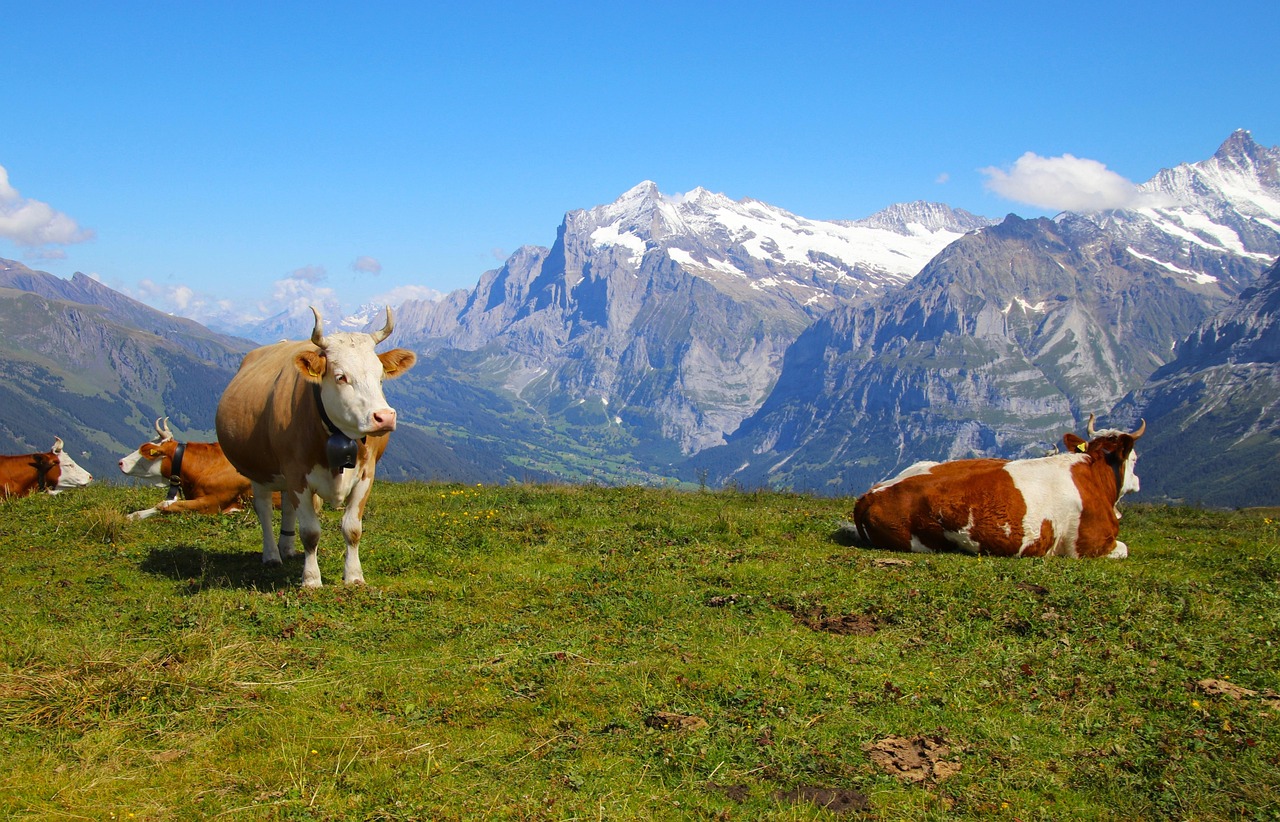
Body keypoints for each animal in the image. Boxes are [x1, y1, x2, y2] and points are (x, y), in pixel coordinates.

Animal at [215, 306, 416, 587]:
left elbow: (352, 528)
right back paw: (272, 555)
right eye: (341, 377)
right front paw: (311, 579)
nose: (384, 417)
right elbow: (310, 532)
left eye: (380, 377)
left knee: (287, 506)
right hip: (258, 470)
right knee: (264, 509)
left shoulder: (367, 474)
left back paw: (286, 548)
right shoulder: (297, 474)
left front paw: (354, 576)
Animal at [849, 415, 1145, 559]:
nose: (1139, 482)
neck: (1094, 477)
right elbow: (1125, 549)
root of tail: (870, 495)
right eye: (1134, 458)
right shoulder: (1087, 546)